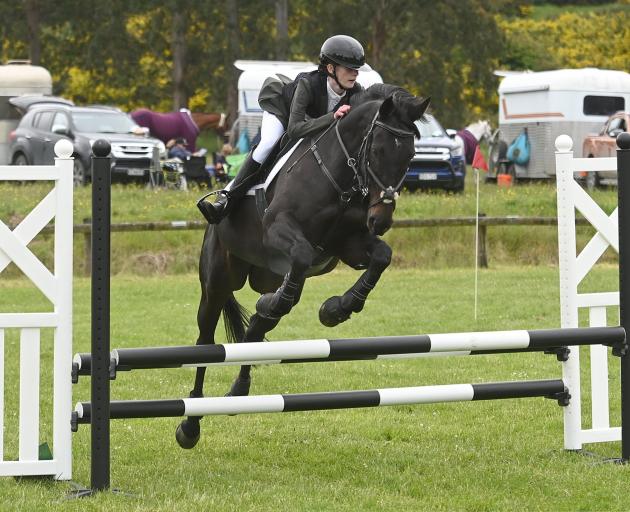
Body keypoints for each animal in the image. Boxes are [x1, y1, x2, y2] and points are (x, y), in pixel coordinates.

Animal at [178, 90, 434, 450]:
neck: (340, 177)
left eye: (410, 156)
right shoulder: (278, 229)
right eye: (378, 150)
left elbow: (382, 257)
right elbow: (300, 254)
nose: (381, 220)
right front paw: (307, 305)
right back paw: (190, 424)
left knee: (256, 330)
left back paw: (241, 385)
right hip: (217, 280)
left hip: (266, 276)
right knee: (206, 342)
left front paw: (337, 309)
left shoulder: (349, 243)